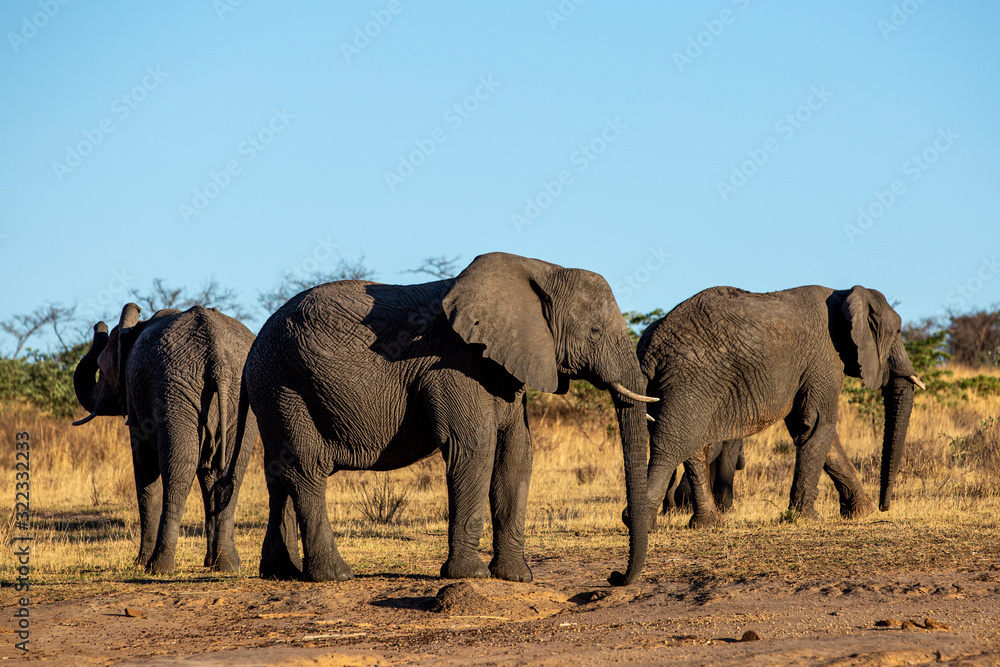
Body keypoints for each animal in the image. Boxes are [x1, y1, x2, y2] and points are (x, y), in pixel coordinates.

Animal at [73, 303, 258, 575]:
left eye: (101, 368)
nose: (100, 325)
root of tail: (219, 362)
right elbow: (209, 476)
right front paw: (211, 563)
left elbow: (145, 471)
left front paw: (139, 563)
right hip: (236, 395)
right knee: (230, 474)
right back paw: (228, 566)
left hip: (174, 393)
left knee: (178, 471)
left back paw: (157, 567)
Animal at [240, 252, 655, 586]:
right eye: (595, 332)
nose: (614, 577)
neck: (538, 268)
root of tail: (254, 346)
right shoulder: (454, 364)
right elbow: (475, 448)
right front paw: (470, 575)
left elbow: (516, 454)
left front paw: (516, 577)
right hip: (285, 384)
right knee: (306, 469)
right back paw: (335, 576)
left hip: (274, 389)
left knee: (278, 474)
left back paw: (281, 573)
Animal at [636, 285, 923, 529]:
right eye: (898, 333)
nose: (884, 507)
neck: (844, 293)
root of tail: (649, 349)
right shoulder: (825, 359)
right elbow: (817, 424)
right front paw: (807, 518)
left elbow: (814, 431)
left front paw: (861, 512)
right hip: (689, 381)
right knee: (672, 446)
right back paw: (641, 523)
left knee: (695, 448)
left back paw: (706, 524)